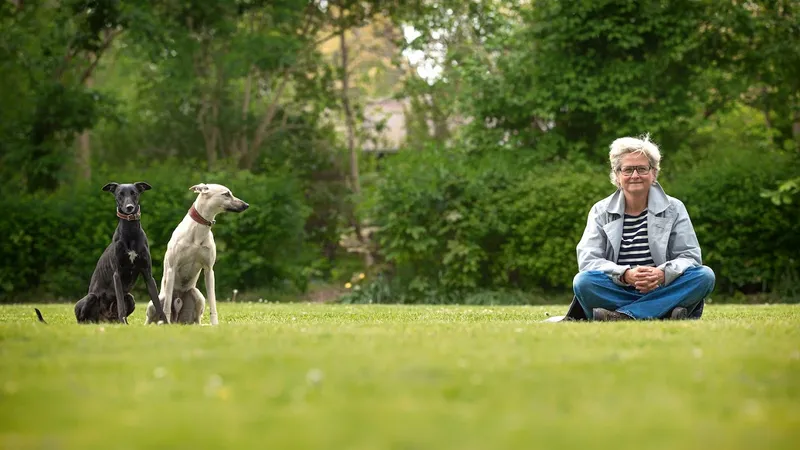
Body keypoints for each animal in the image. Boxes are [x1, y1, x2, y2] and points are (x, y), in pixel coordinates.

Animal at [74, 181, 170, 326]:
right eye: (120, 194)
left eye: (134, 193)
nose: (129, 207)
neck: (130, 232)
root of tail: (103, 320)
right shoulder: (117, 275)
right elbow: (120, 304)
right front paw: (124, 322)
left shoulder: (148, 274)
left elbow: (157, 303)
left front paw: (166, 323)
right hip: (90, 298)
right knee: (83, 319)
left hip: (130, 298)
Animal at [145, 185, 248, 326]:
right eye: (226, 194)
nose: (246, 205)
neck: (198, 230)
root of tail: (177, 319)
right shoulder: (172, 268)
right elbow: (166, 307)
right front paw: (166, 322)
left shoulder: (209, 270)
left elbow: (213, 301)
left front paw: (215, 324)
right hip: (155, 301)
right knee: (151, 317)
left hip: (197, 296)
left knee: (197, 319)